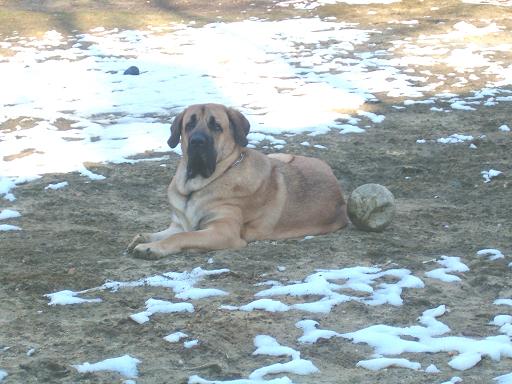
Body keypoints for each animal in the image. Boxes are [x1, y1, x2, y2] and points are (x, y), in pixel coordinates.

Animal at [128, 102, 350, 260]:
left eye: (216, 126)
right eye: (189, 124)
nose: (197, 142)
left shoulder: (223, 230)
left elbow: (182, 236)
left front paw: (151, 248)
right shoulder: (180, 223)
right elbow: (167, 232)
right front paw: (144, 237)